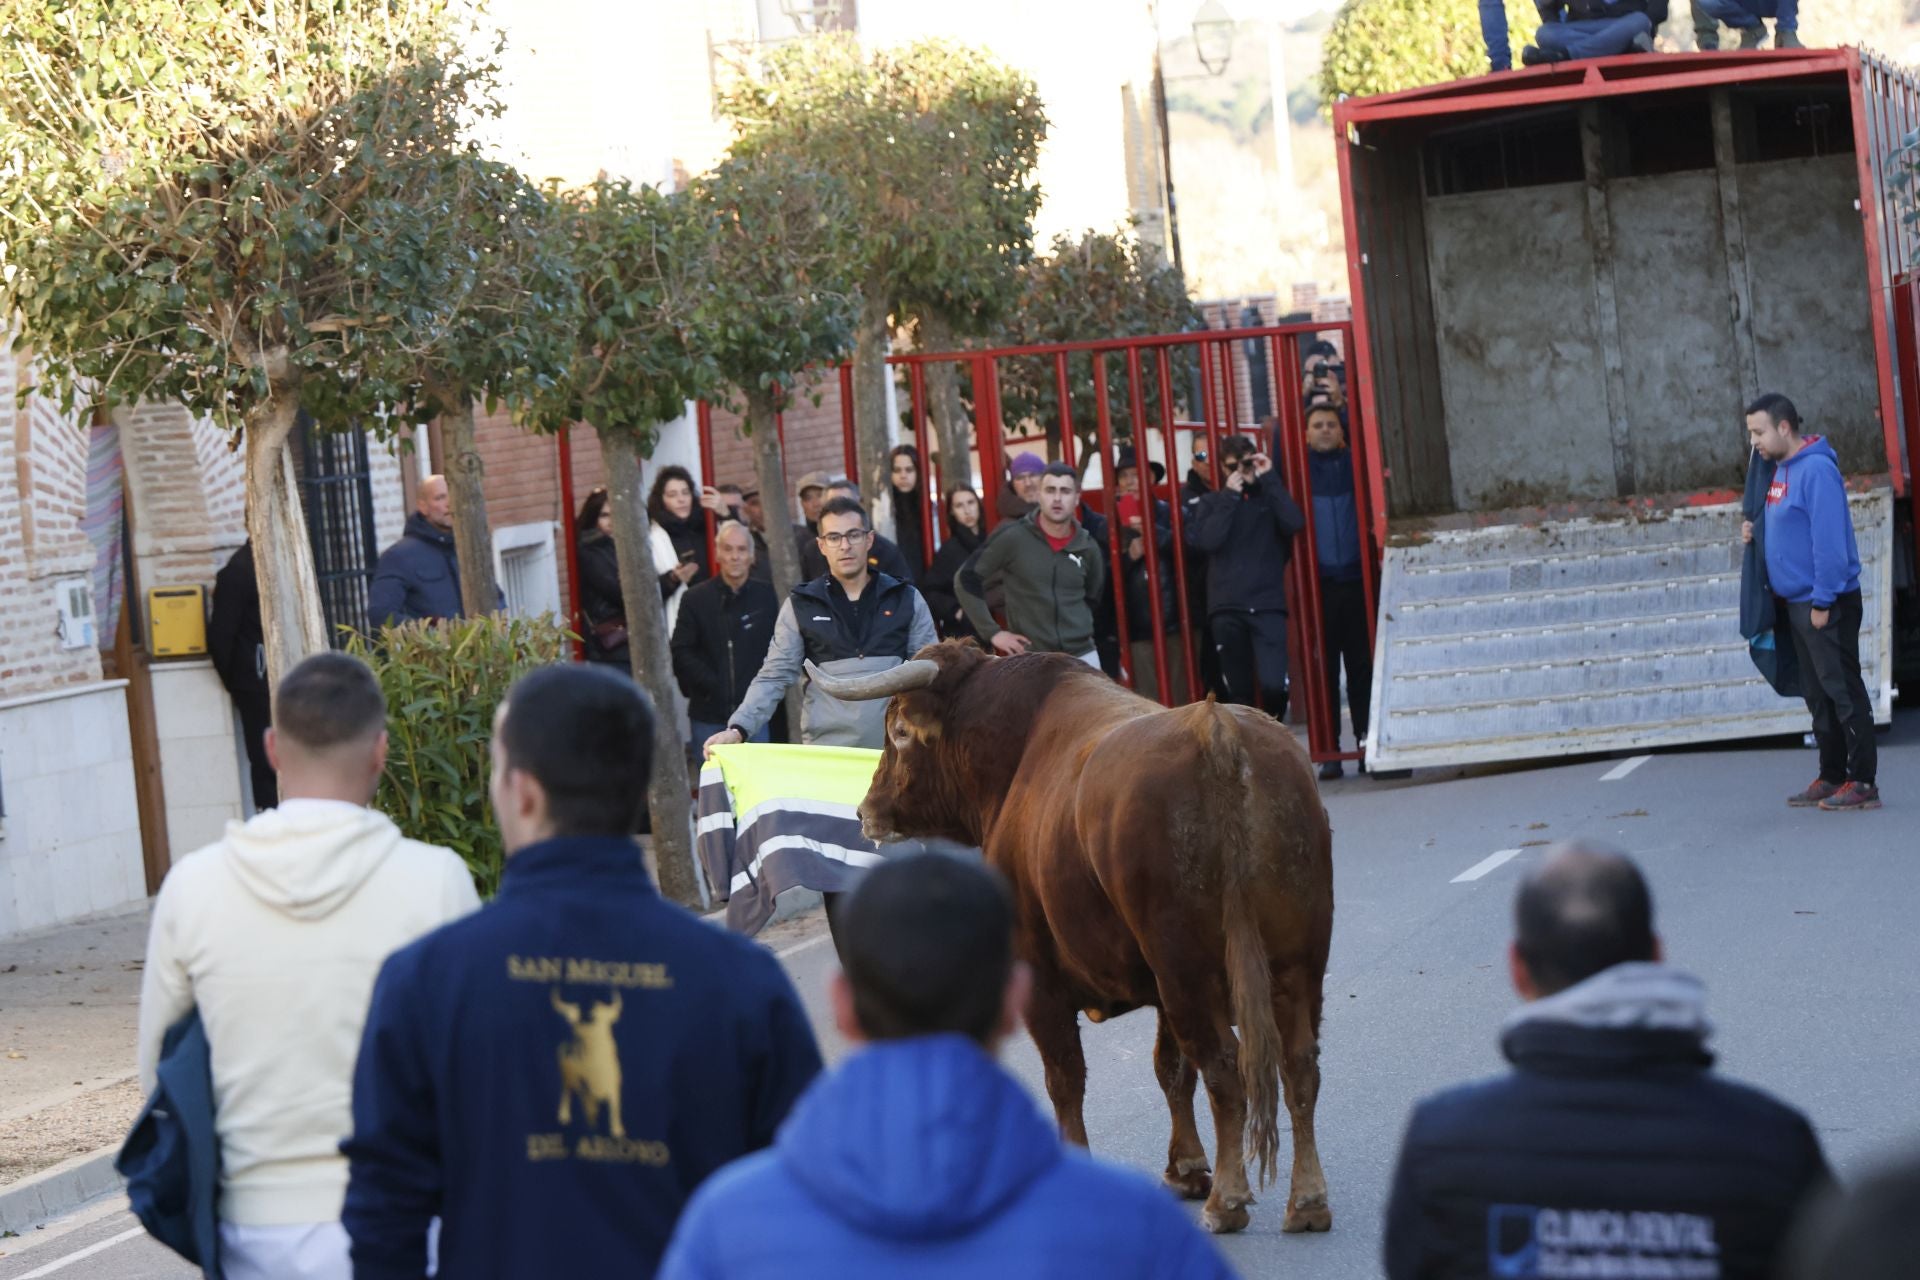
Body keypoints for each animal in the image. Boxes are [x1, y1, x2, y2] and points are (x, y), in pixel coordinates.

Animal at [810, 644, 1336, 1235]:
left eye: (899, 730)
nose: (865, 811)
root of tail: (1217, 731)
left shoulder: (1041, 981)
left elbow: (1065, 1078)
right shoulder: (1155, 983)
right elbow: (1169, 1068)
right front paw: (1184, 1167)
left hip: (1189, 970)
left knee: (1224, 1068)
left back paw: (1227, 1200)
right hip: (1296, 961)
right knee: (1297, 1063)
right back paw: (1307, 1200)